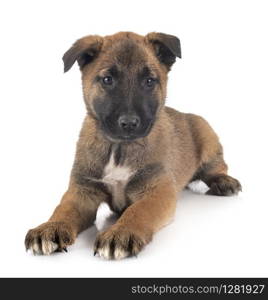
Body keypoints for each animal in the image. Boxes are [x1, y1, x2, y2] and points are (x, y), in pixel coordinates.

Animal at [25, 31, 242, 258]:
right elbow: (63, 209)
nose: (129, 123)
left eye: (149, 81)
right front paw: (50, 227)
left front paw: (121, 232)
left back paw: (223, 182)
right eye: (107, 79)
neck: (119, 148)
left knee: (216, 167)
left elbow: (138, 211)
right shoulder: (82, 191)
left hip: (207, 134)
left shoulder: (157, 191)